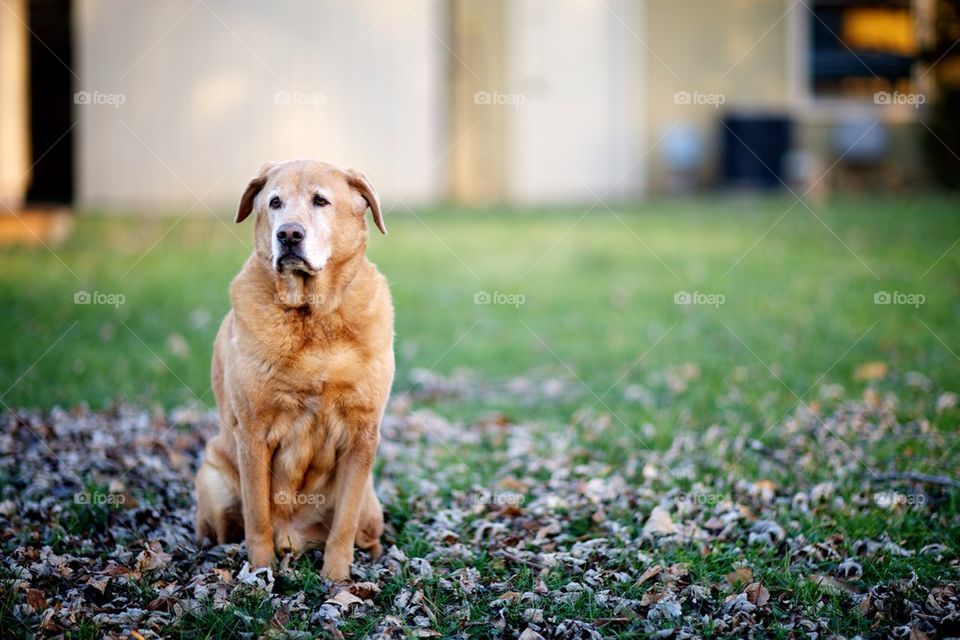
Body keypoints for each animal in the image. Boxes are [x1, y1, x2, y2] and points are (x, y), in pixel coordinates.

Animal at [193, 159, 392, 580]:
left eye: (321, 201)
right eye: (275, 202)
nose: (288, 234)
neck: (314, 316)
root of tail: (295, 538)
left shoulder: (363, 434)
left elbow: (343, 523)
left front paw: (336, 580)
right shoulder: (252, 432)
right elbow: (257, 516)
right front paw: (259, 574)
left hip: (371, 507)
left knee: (365, 532)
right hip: (213, 480)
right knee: (222, 531)